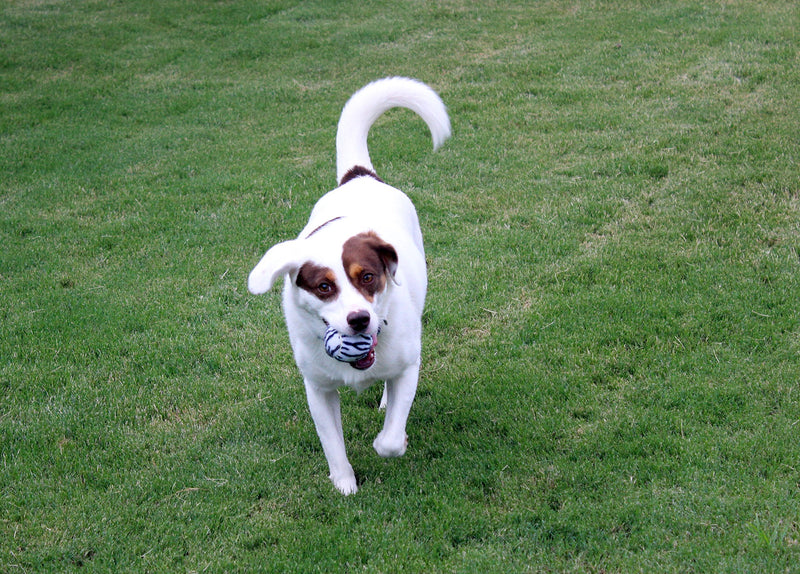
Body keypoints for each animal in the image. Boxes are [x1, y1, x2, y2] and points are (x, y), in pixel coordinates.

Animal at [248, 79, 450, 498]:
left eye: (368, 277)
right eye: (324, 286)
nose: (359, 320)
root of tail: (360, 176)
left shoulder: (409, 366)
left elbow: (390, 438)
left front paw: (389, 439)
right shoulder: (318, 388)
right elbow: (332, 443)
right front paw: (344, 483)